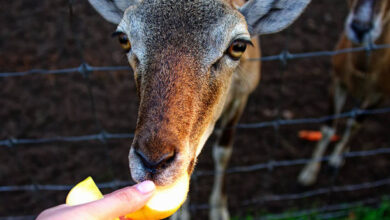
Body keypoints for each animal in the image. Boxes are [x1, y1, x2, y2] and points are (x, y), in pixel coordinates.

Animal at [87, 0, 310, 218]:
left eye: (238, 46)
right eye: (124, 39)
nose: (153, 163)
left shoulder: (242, 94)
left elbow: (223, 152)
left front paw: (219, 211)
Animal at [300, 0, 388, 186]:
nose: (360, 29)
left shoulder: (381, 95)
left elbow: (355, 122)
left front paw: (335, 161)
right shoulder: (338, 81)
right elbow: (329, 127)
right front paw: (308, 174)